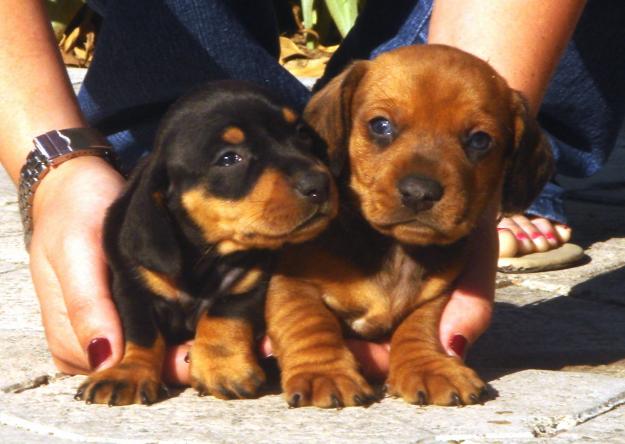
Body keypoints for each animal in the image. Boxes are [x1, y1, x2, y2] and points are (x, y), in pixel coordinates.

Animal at [76, 80, 338, 406]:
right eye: (229, 159)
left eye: (301, 133)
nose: (320, 184)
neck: (206, 255)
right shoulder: (132, 285)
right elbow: (142, 332)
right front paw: (128, 372)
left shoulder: (248, 282)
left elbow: (224, 314)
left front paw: (222, 368)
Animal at [264, 43, 552, 408]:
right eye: (381, 125)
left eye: (480, 141)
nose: (419, 193)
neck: (395, 249)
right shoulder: (292, 281)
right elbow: (307, 320)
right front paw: (324, 372)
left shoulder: (436, 294)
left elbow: (418, 326)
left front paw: (427, 367)